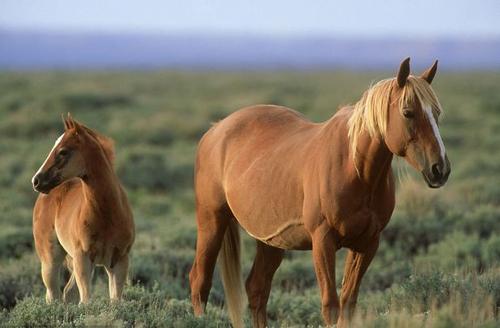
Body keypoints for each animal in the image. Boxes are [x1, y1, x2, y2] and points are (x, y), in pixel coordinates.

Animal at [31, 116, 135, 304]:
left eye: (63, 151)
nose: (36, 180)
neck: (108, 215)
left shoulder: (119, 261)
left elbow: (115, 300)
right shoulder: (83, 258)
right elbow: (86, 301)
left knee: (68, 292)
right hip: (51, 259)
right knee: (53, 295)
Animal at [189, 57, 452, 326]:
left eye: (437, 113)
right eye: (408, 112)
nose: (439, 169)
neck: (355, 169)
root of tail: (215, 130)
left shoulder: (367, 243)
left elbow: (348, 303)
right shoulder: (323, 240)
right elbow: (330, 306)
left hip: (269, 240)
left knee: (257, 289)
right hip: (212, 221)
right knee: (200, 281)